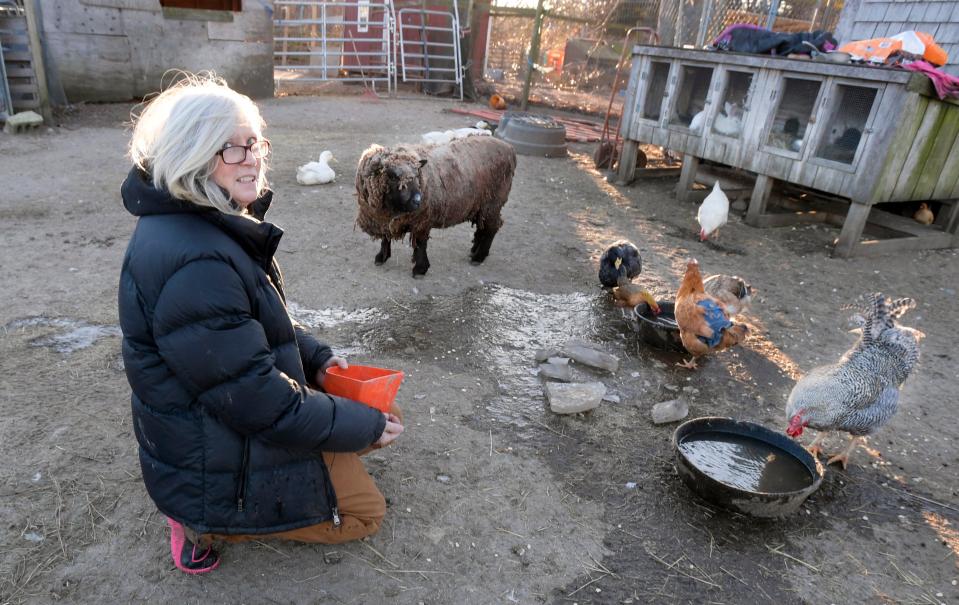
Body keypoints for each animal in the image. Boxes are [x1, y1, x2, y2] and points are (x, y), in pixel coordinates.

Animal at [354, 134, 516, 276]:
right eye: (393, 176)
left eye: (417, 174)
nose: (418, 200)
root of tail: (509, 148)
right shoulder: (383, 219)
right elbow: (385, 238)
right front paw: (381, 257)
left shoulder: (422, 219)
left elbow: (420, 244)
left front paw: (420, 269)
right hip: (480, 205)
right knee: (482, 226)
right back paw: (475, 249)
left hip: (493, 202)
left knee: (492, 227)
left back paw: (479, 257)